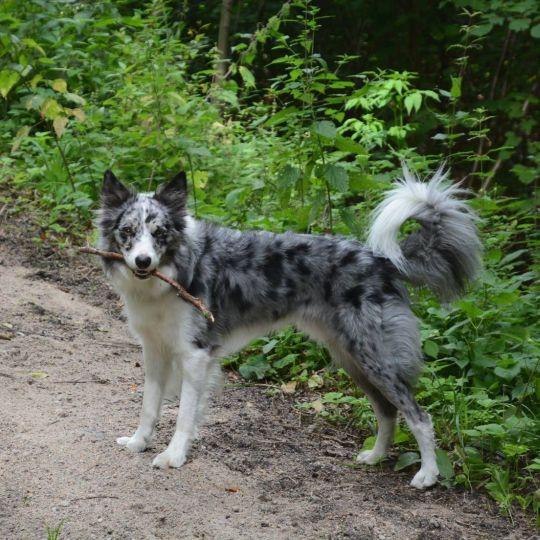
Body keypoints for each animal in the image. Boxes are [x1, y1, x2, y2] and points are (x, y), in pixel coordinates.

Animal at [98, 166, 480, 490]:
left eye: (160, 233)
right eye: (127, 232)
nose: (143, 261)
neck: (171, 273)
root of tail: (381, 260)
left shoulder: (195, 355)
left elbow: (184, 415)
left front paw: (173, 456)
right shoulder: (155, 351)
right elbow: (149, 404)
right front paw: (138, 442)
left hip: (375, 357)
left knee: (419, 416)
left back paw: (427, 474)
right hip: (351, 358)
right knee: (387, 411)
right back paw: (374, 457)